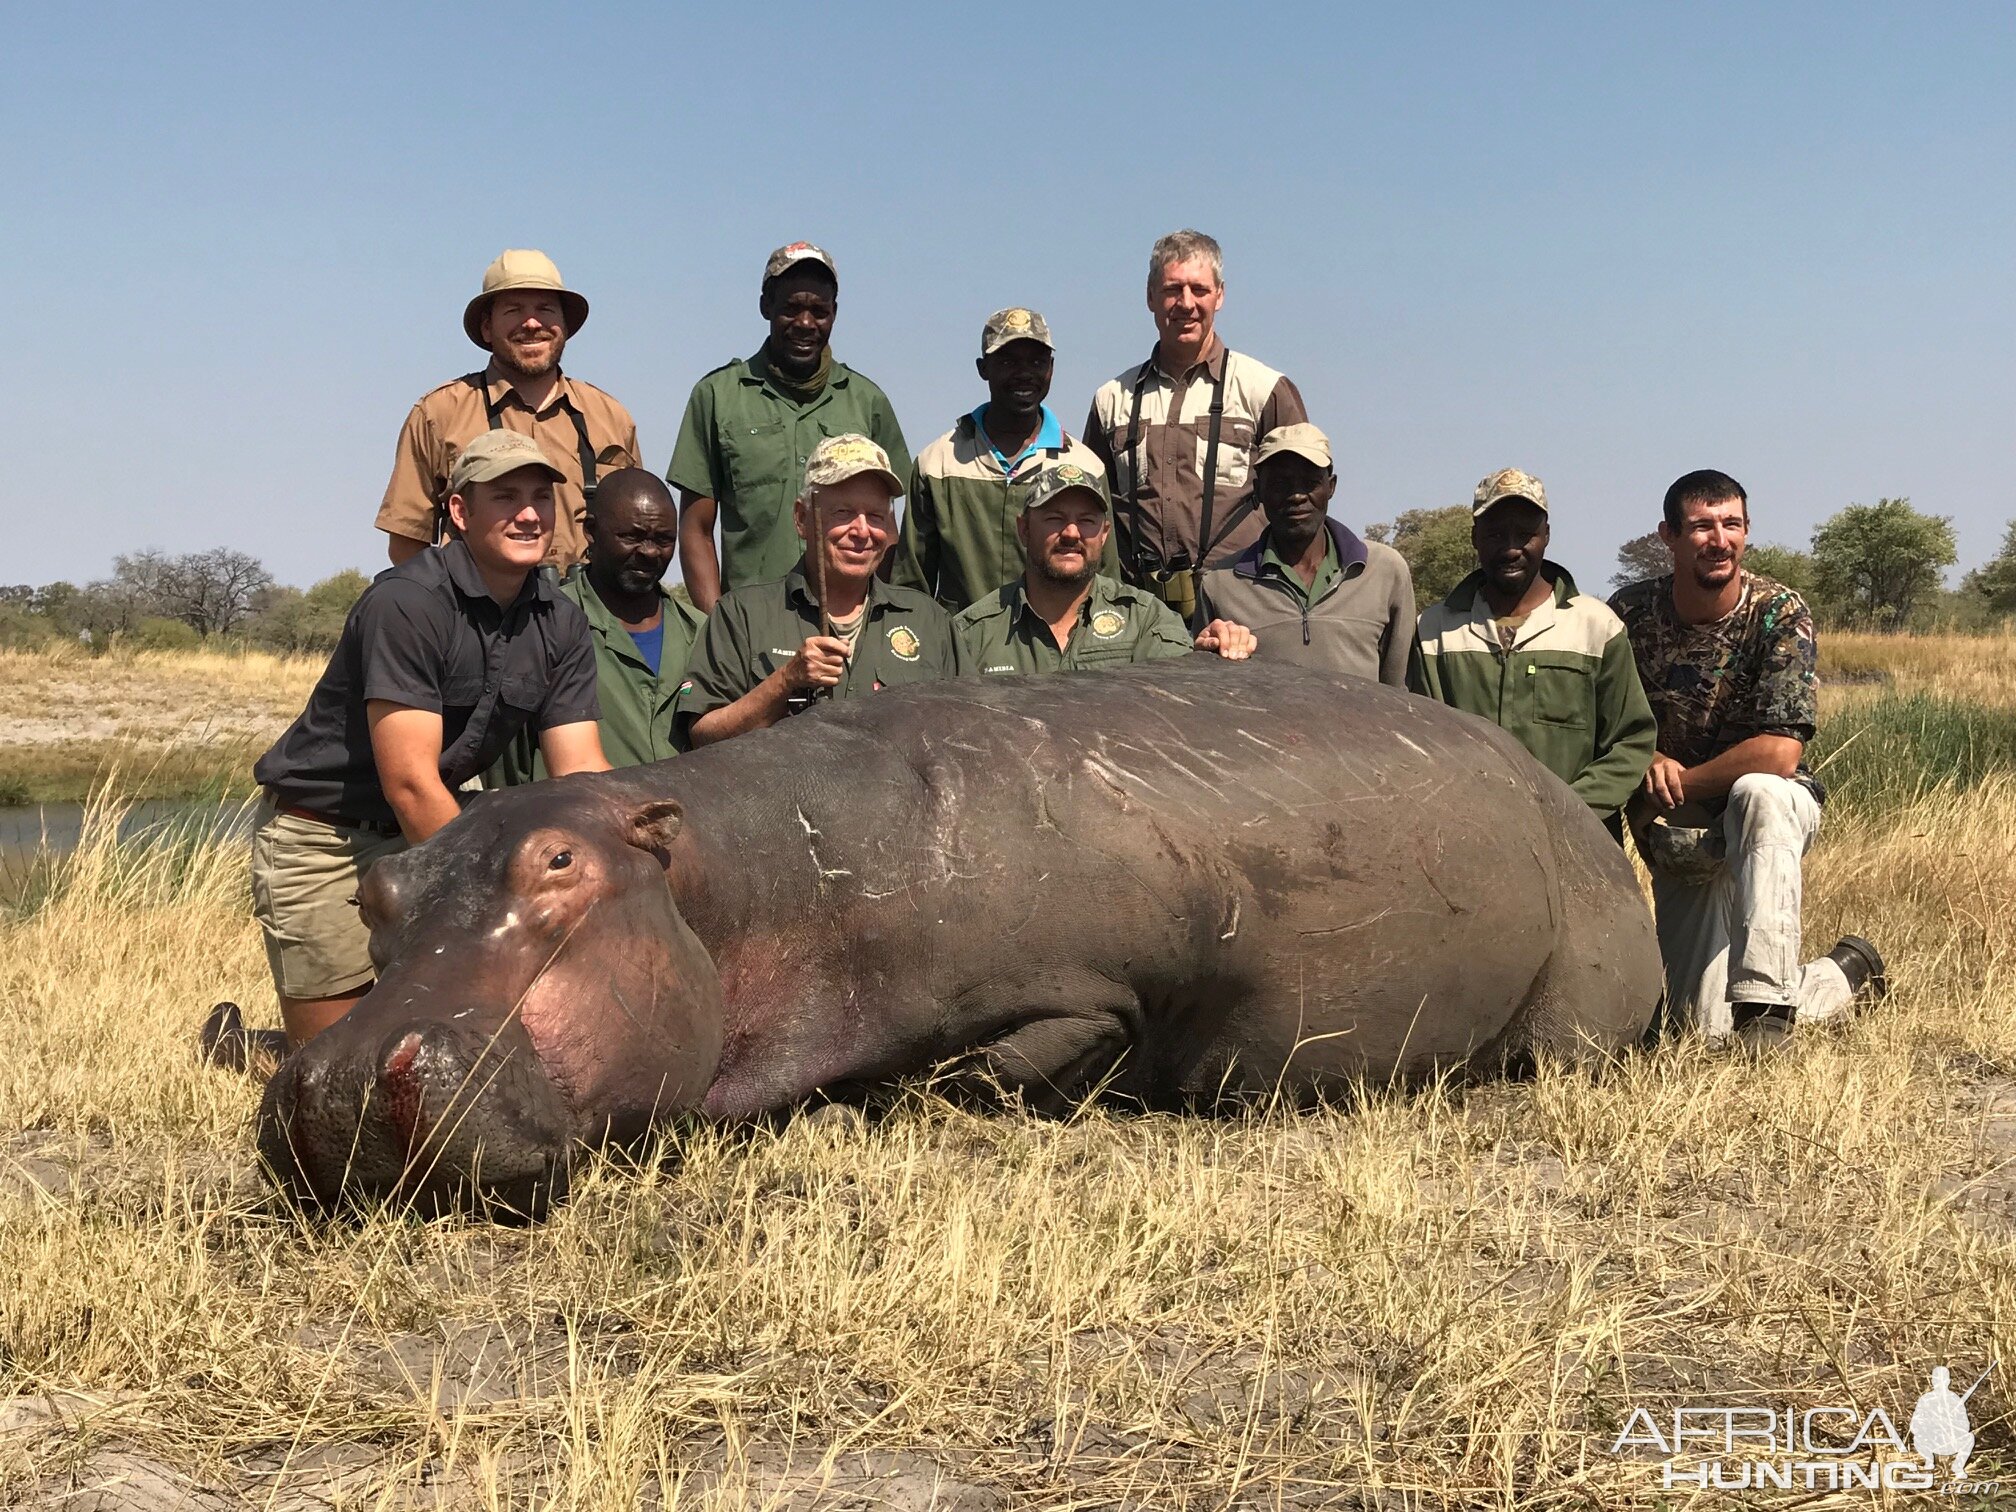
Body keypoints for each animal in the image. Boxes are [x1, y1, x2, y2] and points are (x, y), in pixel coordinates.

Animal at [256, 661, 1653, 1217]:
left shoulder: (1086, 993)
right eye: (382, 893)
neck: (739, 874)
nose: (339, 1078)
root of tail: (1565, 805)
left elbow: (989, 1068)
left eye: (559, 865)